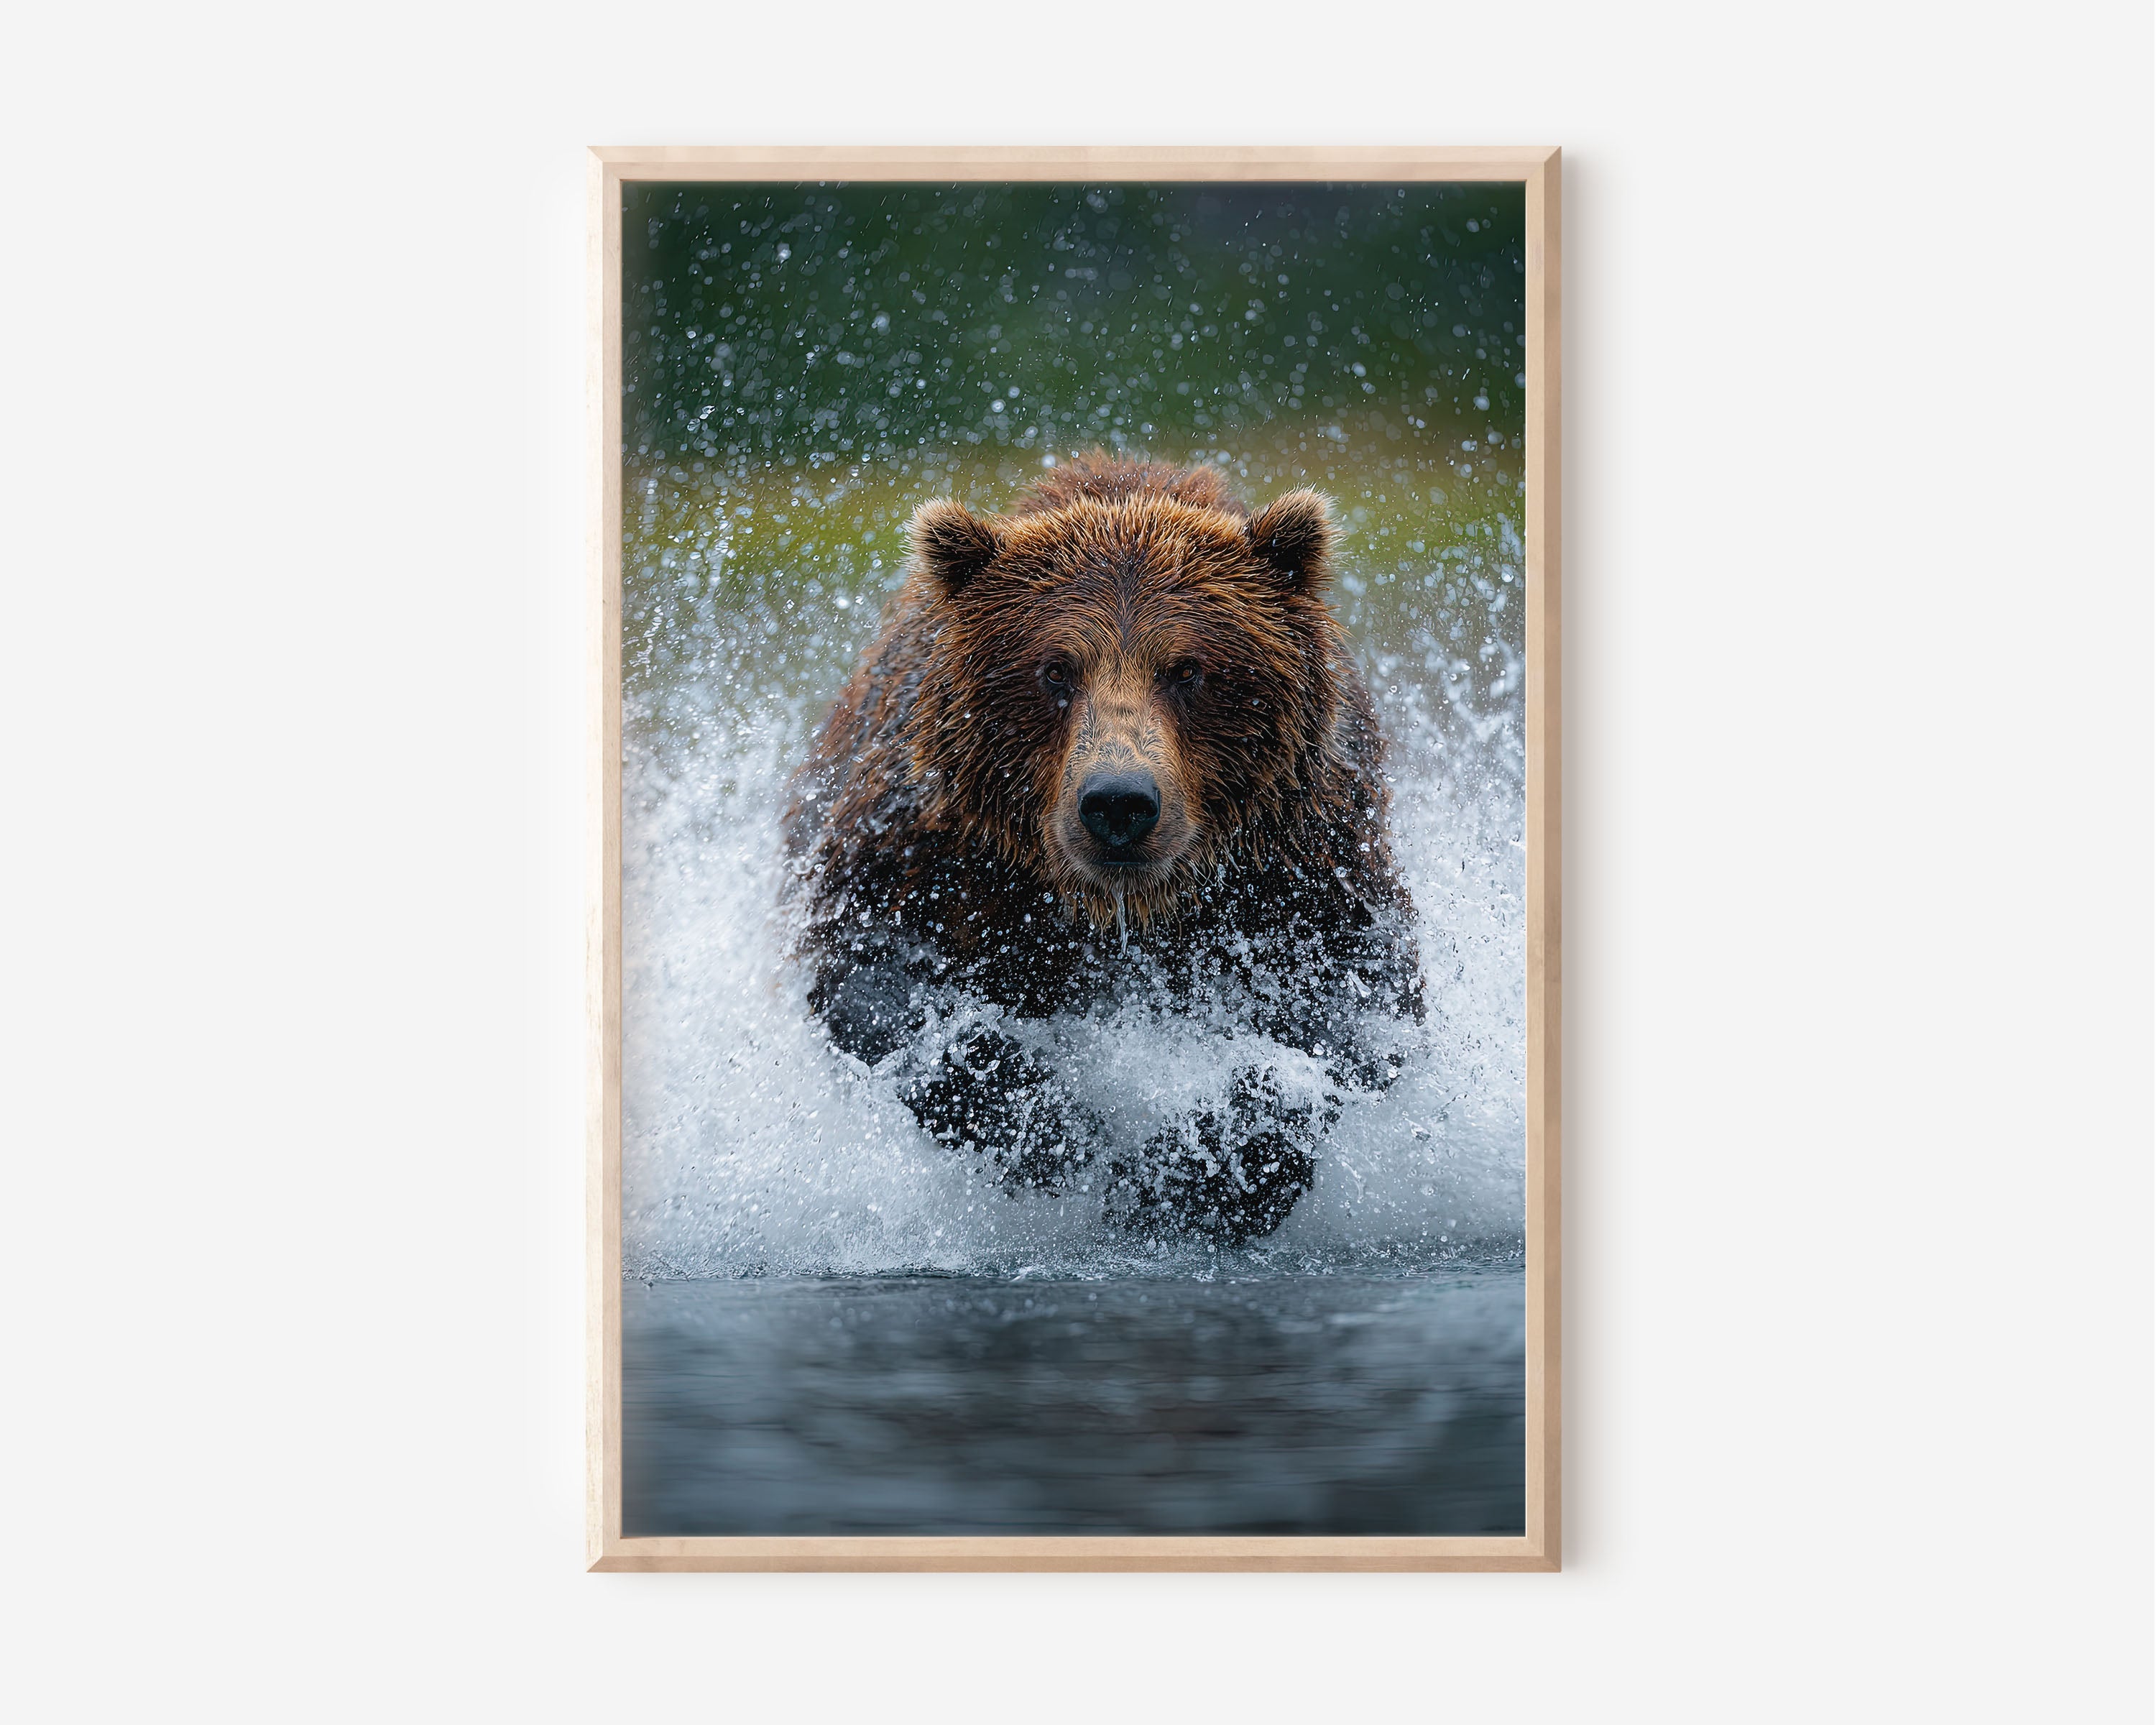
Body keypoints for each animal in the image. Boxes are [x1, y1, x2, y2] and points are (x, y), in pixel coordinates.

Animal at [782, 453, 1423, 1242]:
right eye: (1055, 669)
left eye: (1189, 669)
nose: (1119, 803)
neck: (1118, 910)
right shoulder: (931, 850)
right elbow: (879, 979)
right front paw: (1063, 1137)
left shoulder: (1305, 857)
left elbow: (1353, 1006)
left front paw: (1203, 1169)